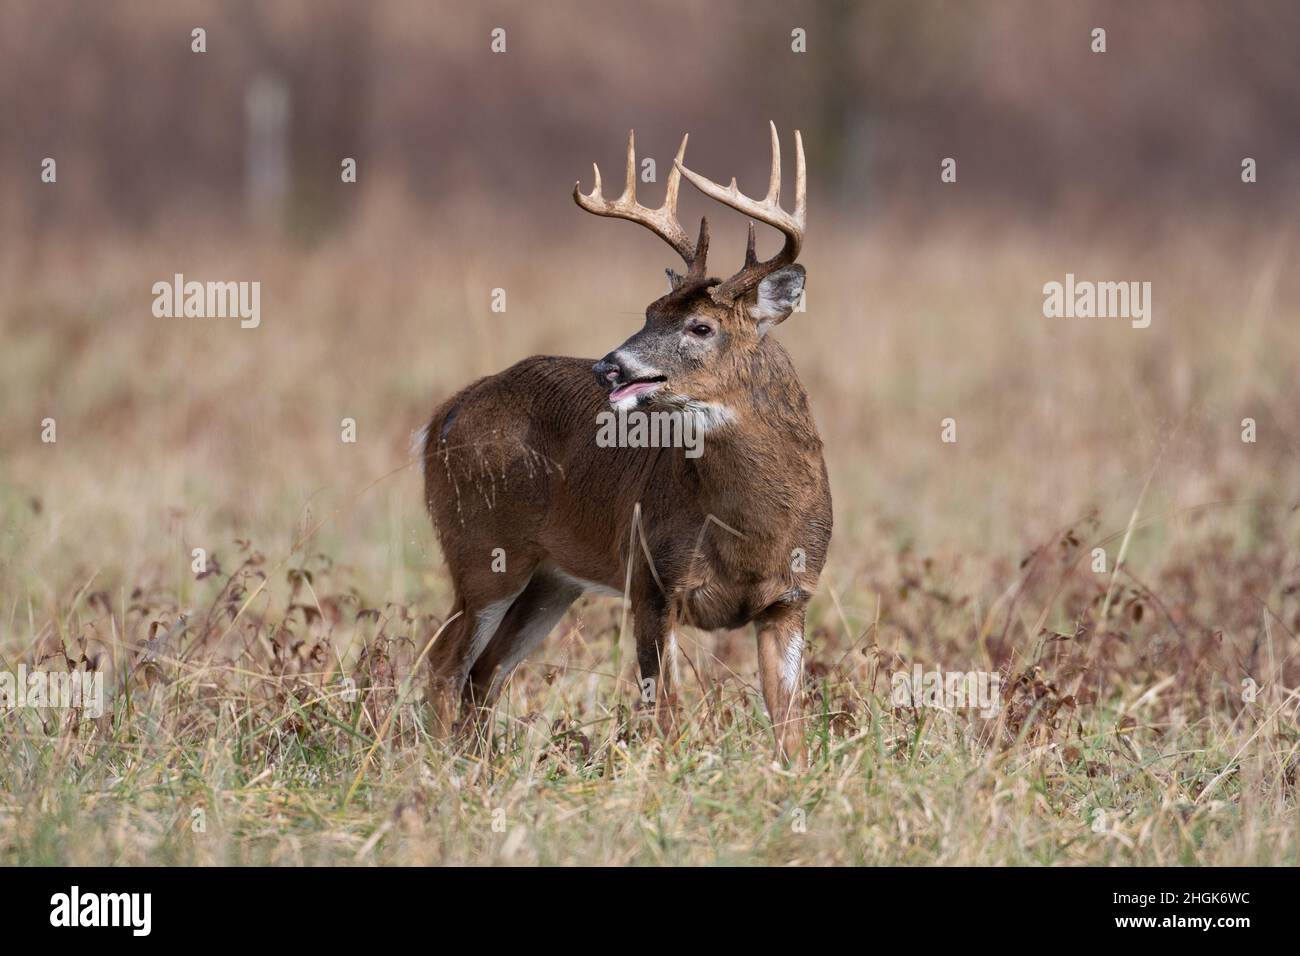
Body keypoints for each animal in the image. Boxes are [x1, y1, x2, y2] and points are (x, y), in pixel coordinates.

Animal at [419, 123, 831, 763]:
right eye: (648, 311)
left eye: (701, 326)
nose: (608, 366)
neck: (752, 530)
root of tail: (444, 414)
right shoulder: (652, 577)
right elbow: (667, 715)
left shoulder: (790, 598)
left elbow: (791, 728)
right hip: (482, 548)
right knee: (444, 663)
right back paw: (440, 767)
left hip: (552, 580)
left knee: (485, 673)